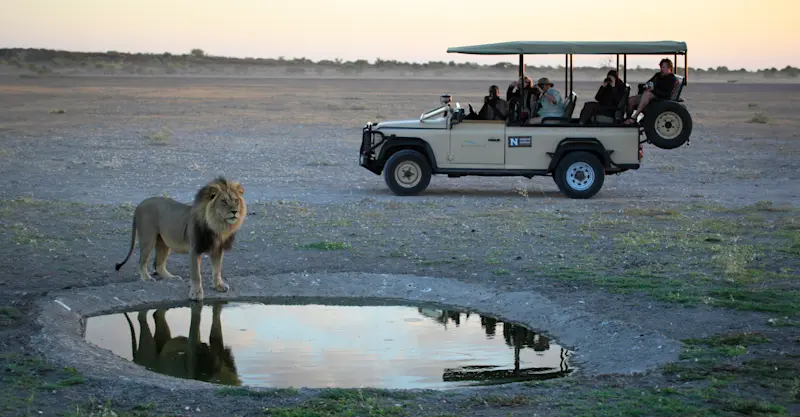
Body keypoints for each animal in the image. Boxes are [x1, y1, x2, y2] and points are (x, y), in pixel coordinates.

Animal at [114, 176, 246, 301]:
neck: (216, 225)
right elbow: (196, 275)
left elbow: (217, 270)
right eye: (224, 201)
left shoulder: (217, 249)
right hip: (148, 239)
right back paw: (147, 278)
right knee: (142, 261)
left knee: (158, 264)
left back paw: (172, 278)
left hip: (164, 242)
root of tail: (139, 205)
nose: (235, 211)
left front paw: (219, 286)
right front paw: (196, 294)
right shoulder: (194, 249)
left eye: (236, 201)